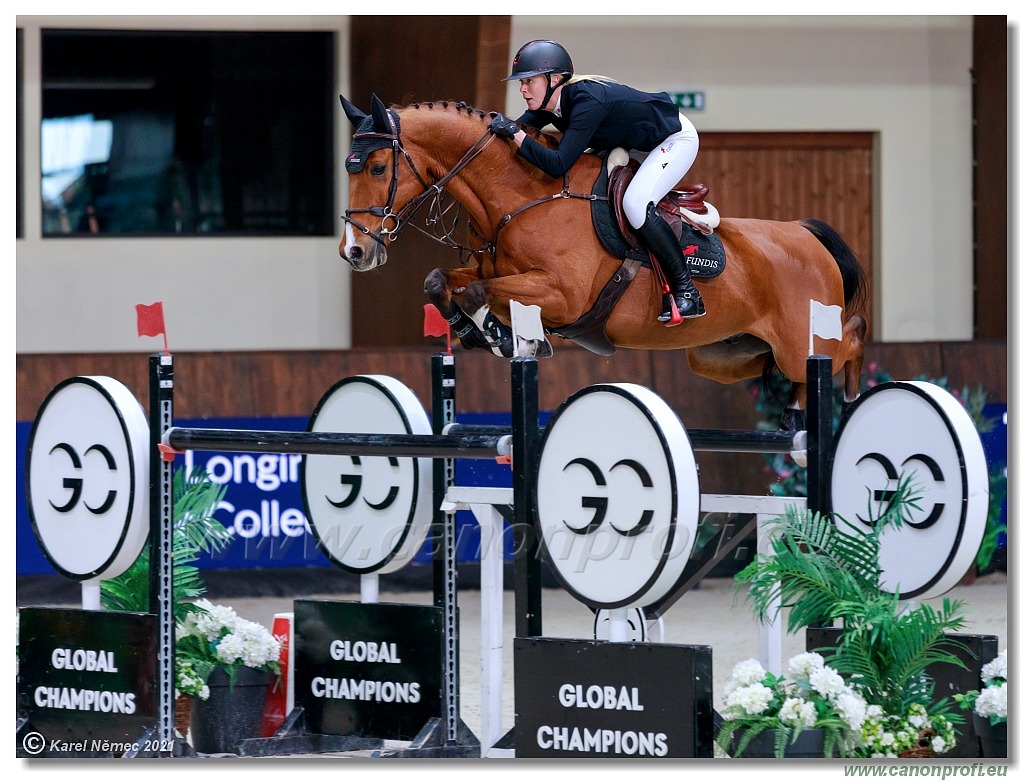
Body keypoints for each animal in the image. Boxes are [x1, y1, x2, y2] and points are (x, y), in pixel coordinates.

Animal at [339, 96, 868, 427]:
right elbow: (441, 282)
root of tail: (804, 233)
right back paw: (795, 411)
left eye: (379, 168)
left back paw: (849, 400)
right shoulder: (497, 271)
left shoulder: (561, 295)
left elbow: (476, 292)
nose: (355, 252)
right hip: (721, 355)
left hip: (800, 338)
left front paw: (499, 335)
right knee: (790, 366)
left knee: (850, 339)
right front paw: (475, 332)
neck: (522, 193)